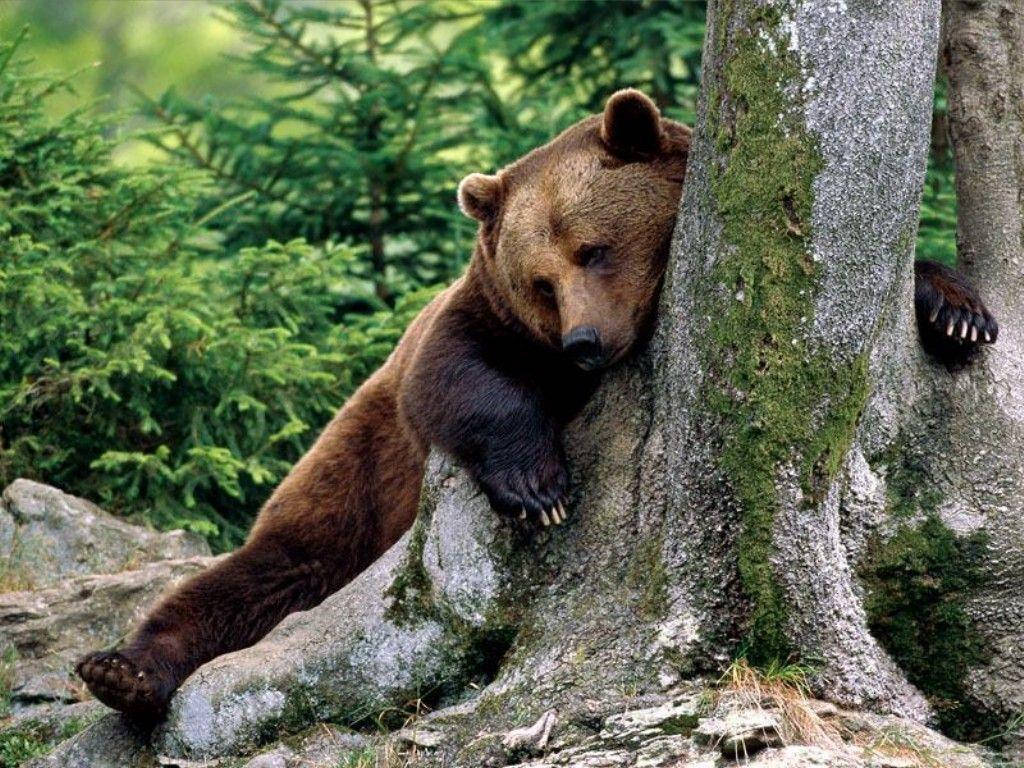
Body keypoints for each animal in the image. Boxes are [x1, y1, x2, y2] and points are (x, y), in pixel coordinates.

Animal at [77, 90, 991, 720]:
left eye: (596, 248)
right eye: (541, 281)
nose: (585, 343)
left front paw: (956, 312)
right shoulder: (479, 323)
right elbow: (458, 376)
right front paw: (537, 487)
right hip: (351, 478)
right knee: (262, 574)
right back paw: (122, 669)